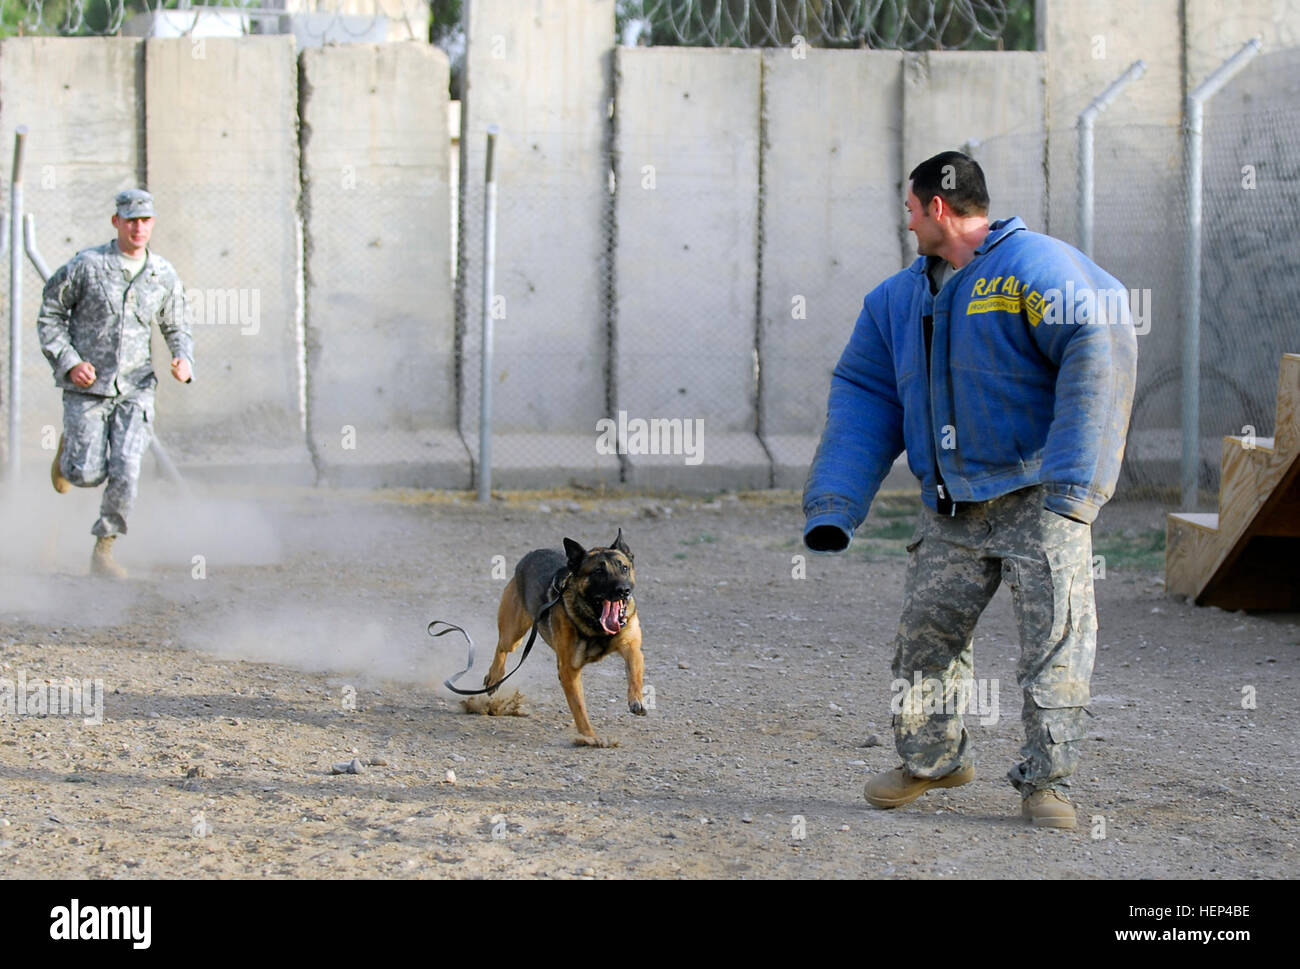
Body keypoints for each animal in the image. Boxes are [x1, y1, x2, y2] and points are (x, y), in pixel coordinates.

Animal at [488, 528, 644, 749]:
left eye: (624, 567)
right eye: (598, 572)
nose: (623, 590)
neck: (595, 624)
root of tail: (530, 555)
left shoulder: (631, 646)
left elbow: (634, 673)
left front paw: (636, 699)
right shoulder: (569, 670)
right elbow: (579, 707)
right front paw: (589, 737)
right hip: (514, 633)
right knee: (502, 648)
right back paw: (494, 677)